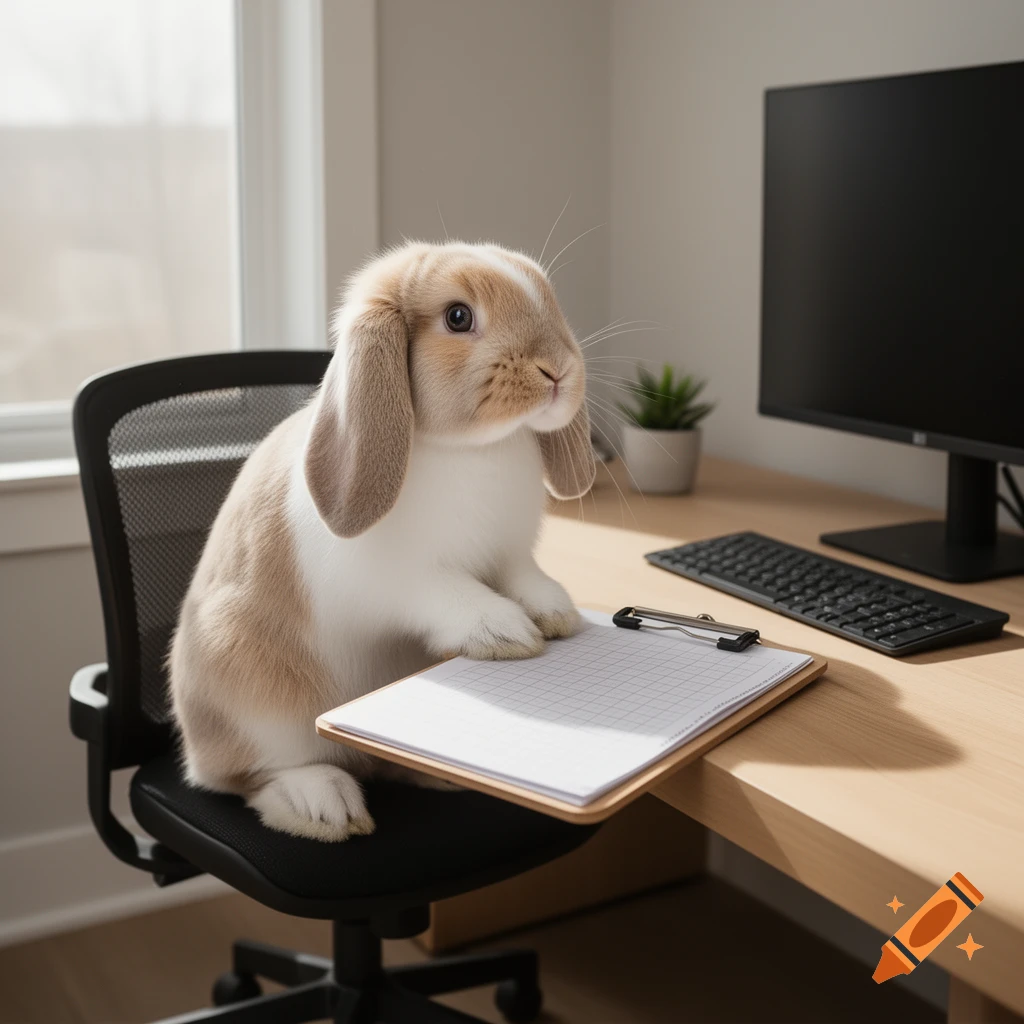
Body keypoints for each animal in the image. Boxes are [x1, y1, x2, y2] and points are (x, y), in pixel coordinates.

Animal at [168, 241, 596, 841]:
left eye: (546, 297)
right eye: (458, 317)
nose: (558, 370)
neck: (474, 450)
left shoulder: (511, 556)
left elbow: (526, 578)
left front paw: (556, 615)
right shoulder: (403, 579)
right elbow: (455, 594)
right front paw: (508, 633)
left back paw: (437, 774)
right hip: (253, 696)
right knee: (248, 777)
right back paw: (322, 805)